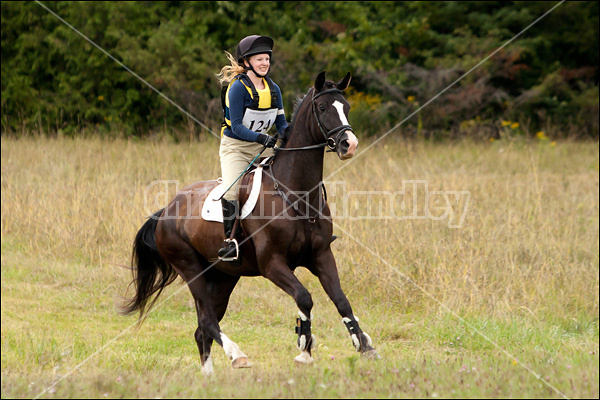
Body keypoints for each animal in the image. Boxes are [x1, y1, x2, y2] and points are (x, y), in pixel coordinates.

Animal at [122, 72, 378, 376]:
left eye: (346, 107)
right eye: (324, 107)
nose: (349, 144)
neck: (297, 194)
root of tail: (167, 210)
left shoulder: (321, 256)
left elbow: (341, 300)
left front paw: (363, 344)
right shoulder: (272, 264)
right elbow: (304, 297)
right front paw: (304, 346)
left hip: (224, 276)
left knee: (202, 328)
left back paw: (208, 376)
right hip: (190, 268)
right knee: (207, 320)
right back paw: (237, 355)